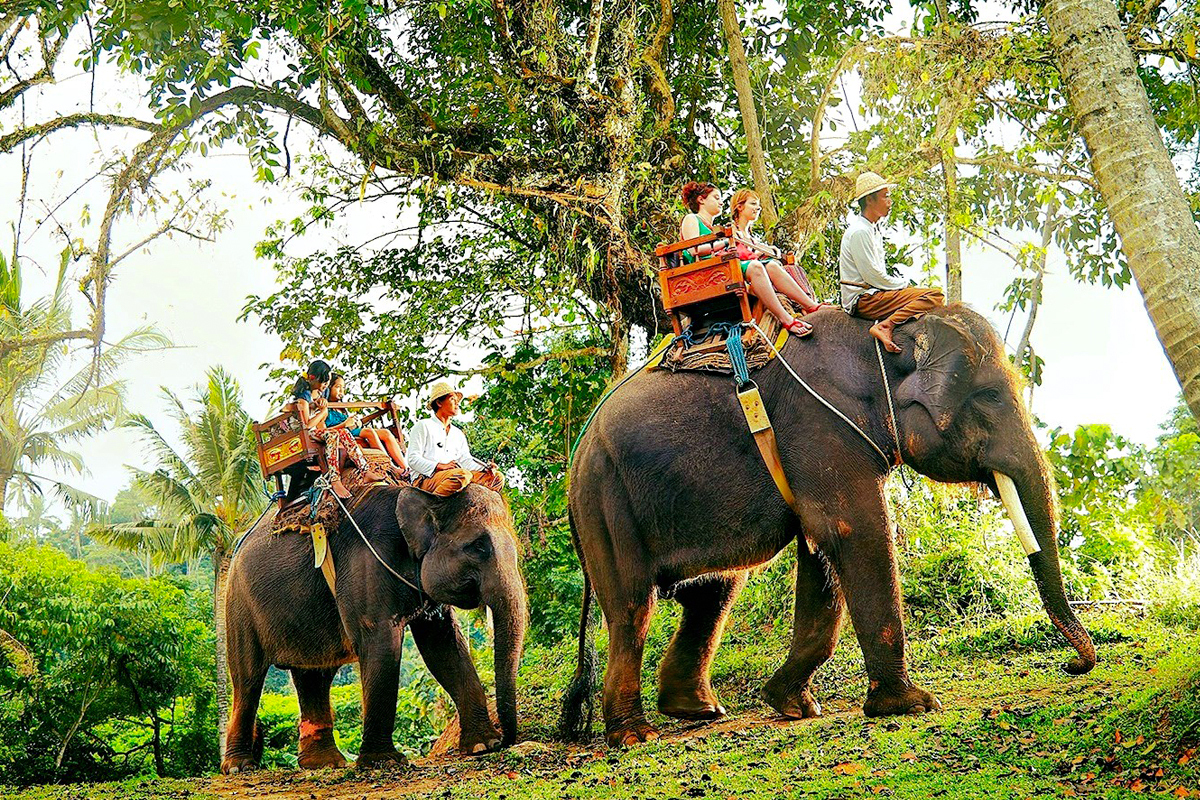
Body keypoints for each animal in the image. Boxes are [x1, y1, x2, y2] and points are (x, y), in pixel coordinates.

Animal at [221, 484, 527, 773]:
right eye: (478, 547)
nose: (508, 740)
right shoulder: (365, 567)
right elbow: (382, 643)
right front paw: (384, 761)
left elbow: (443, 646)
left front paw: (483, 745)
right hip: (238, 605)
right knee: (248, 678)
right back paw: (239, 766)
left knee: (314, 675)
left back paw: (324, 764)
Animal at [560, 304, 1096, 747]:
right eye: (988, 397)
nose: (1072, 664)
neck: (879, 339)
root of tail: (575, 459)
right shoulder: (820, 424)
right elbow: (854, 531)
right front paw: (912, 706)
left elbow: (820, 553)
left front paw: (793, 705)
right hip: (605, 500)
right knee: (633, 607)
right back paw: (635, 736)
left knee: (714, 592)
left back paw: (699, 711)